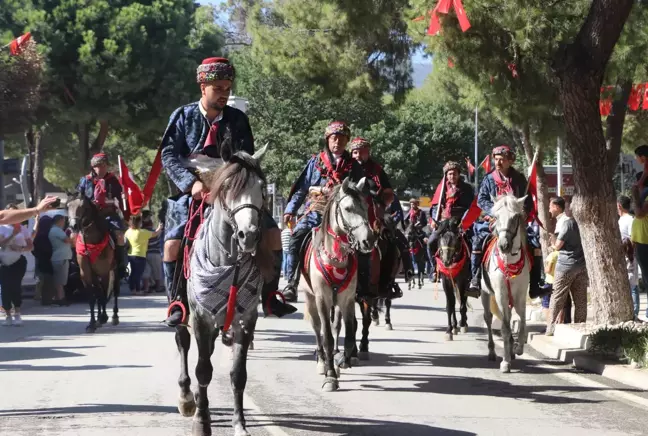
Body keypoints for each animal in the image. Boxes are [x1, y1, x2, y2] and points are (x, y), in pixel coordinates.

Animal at [67, 192, 120, 332]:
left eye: (83, 207)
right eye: (68, 206)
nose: (73, 226)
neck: (91, 243)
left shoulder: (105, 272)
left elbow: (103, 295)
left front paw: (103, 317)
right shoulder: (86, 273)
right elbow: (93, 297)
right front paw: (92, 323)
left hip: (116, 270)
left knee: (115, 291)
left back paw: (114, 316)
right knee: (99, 291)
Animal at [480, 196, 532, 372]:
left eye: (515, 217)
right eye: (495, 217)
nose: (504, 245)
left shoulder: (521, 295)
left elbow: (522, 323)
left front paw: (518, 348)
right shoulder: (501, 294)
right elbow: (504, 327)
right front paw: (505, 361)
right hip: (485, 293)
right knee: (489, 319)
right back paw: (492, 352)